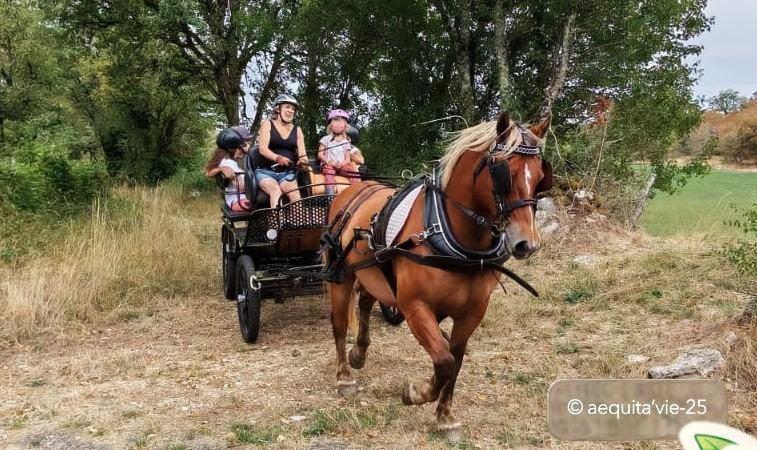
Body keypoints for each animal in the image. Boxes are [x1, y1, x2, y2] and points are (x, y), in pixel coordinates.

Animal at [322, 111, 552, 441]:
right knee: (340, 323)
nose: (527, 244)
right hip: (340, 276)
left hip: (372, 272)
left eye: (540, 174)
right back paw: (344, 375)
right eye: (503, 172)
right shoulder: (415, 307)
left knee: (365, 303)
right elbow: (444, 361)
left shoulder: (472, 312)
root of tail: (354, 190)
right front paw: (416, 393)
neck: (450, 234)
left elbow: (454, 360)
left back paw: (359, 353)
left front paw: (445, 416)